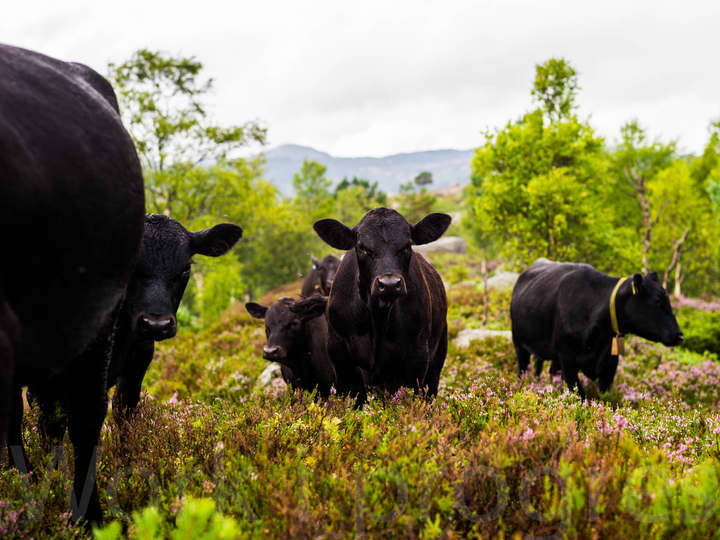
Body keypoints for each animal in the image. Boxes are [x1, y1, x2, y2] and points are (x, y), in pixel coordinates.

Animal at [310, 207, 448, 404]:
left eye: (407, 245)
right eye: (362, 247)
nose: (389, 284)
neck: (378, 318)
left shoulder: (417, 354)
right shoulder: (339, 354)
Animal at [510, 258, 684, 396]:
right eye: (657, 301)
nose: (679, 335)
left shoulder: (610, 364)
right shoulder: (567, 358)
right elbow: (579, 394)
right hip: (519, 343)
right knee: (523, 368)